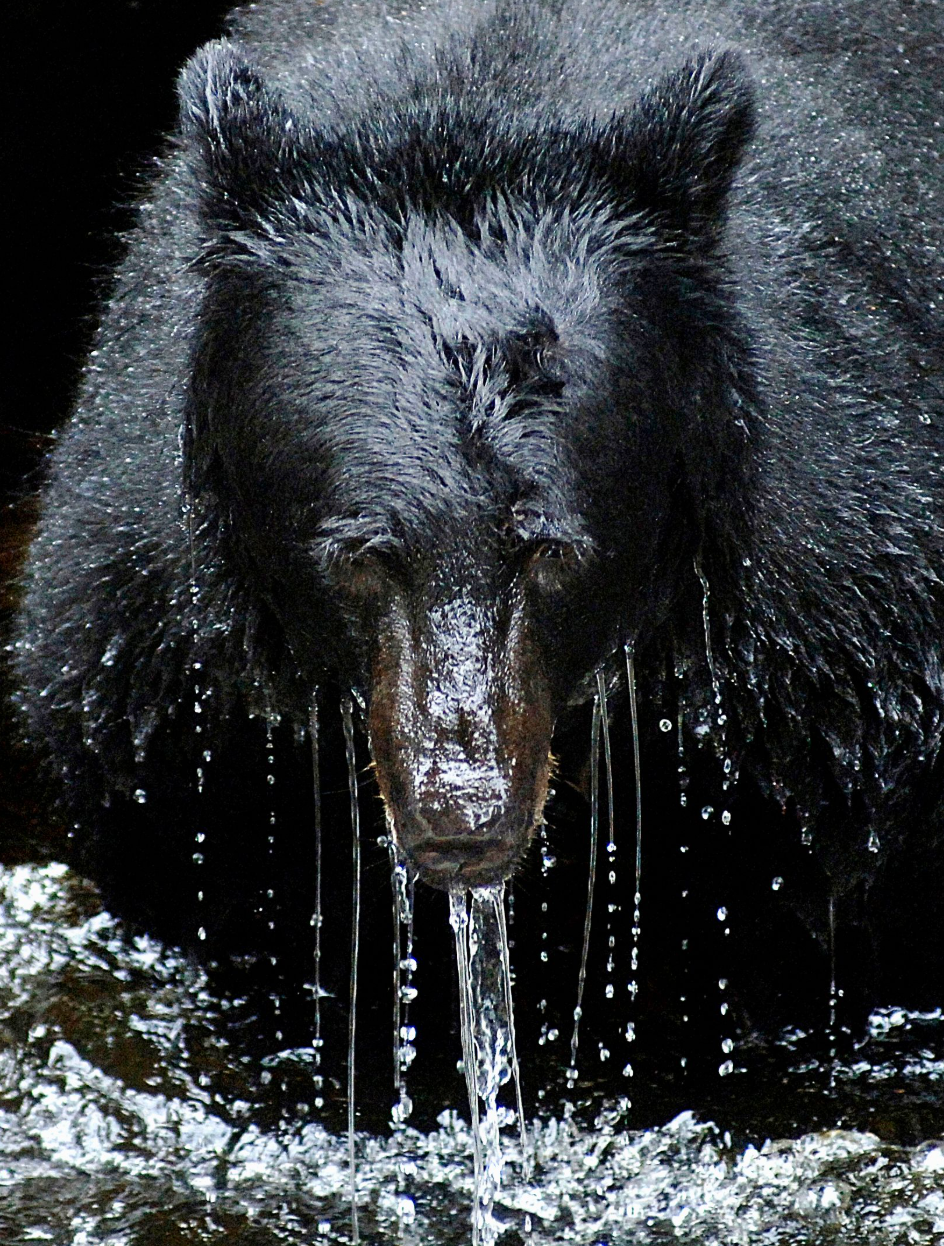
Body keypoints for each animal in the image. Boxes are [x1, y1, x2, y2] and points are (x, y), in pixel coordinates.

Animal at [8, 0, 944, 1113]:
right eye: (363, 555)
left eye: (546, 551)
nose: (463, 815)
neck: (483, 97)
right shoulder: (164, 677)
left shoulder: (825, 658)